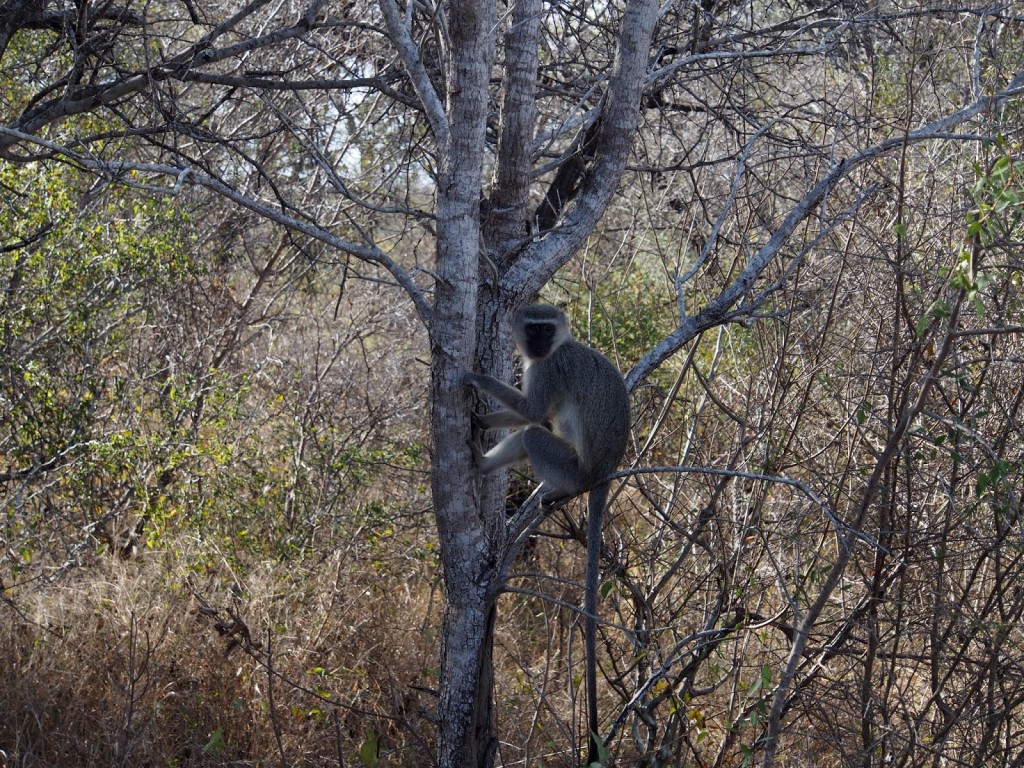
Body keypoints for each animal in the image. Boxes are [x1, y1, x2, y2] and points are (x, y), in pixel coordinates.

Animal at [466, 303, 630, 765]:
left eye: (546, 328)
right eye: (533, 328)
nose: (538, 344)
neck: (554, 350)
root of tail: (602, 474)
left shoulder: (548, 369)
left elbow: (533, 412)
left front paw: (476, 381)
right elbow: (530, 413)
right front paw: (480, 413)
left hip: (571, 468)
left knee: (534, 436)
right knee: (530, 434)